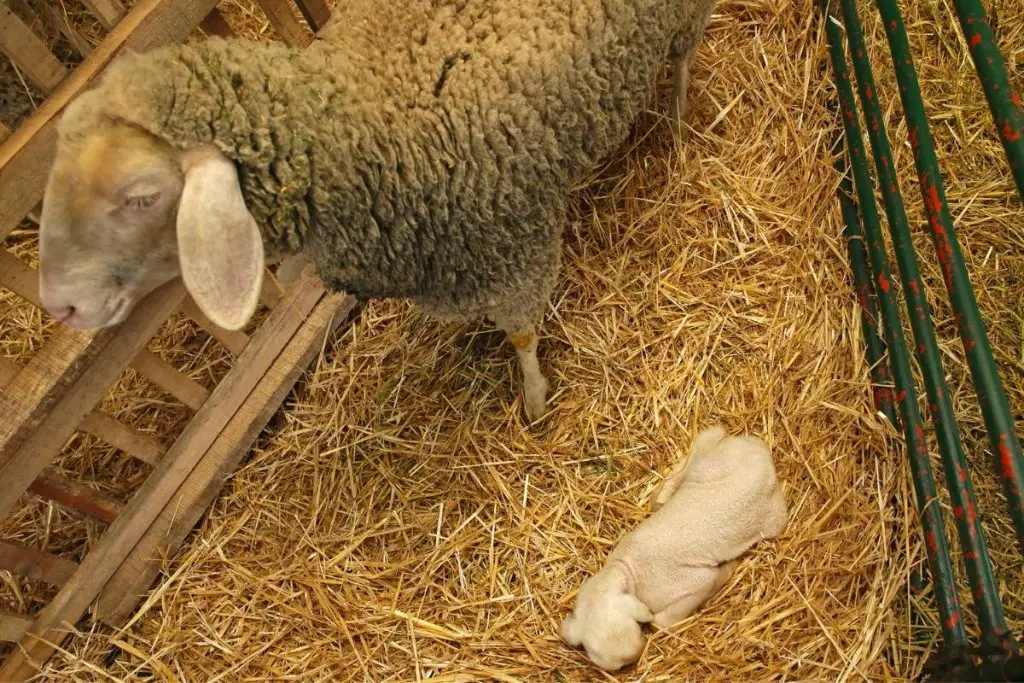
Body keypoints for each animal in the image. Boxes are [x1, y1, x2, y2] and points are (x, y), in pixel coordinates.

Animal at [561, 428, 782, 671]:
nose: (638, 655)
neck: (626, 568)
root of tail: (758, 449)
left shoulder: (691, 583)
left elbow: (661, 621)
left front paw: (728, 569)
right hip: (711, 463)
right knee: (710, 436)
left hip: (774, 520)